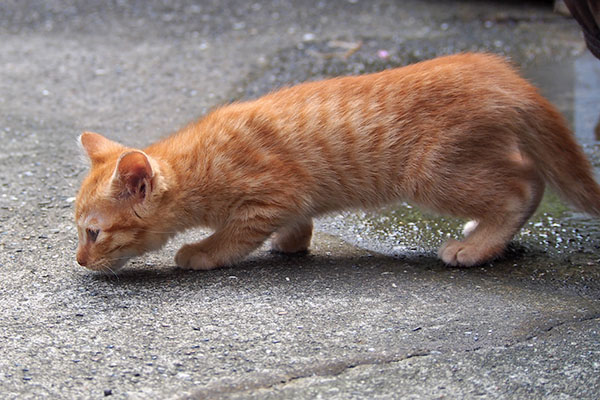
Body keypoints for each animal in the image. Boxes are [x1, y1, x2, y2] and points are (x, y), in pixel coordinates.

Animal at [74, 52, 600, 272]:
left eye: (93, 233)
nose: (79, 261)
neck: (199, 163)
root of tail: (499, 72)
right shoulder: (293, 200)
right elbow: (296, 223)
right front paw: (292, 243)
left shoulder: (271, 196)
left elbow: (232, 236)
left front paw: (201, 252)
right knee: (526, 177)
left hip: (435, 174)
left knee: (521, 187)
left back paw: (477, 247)